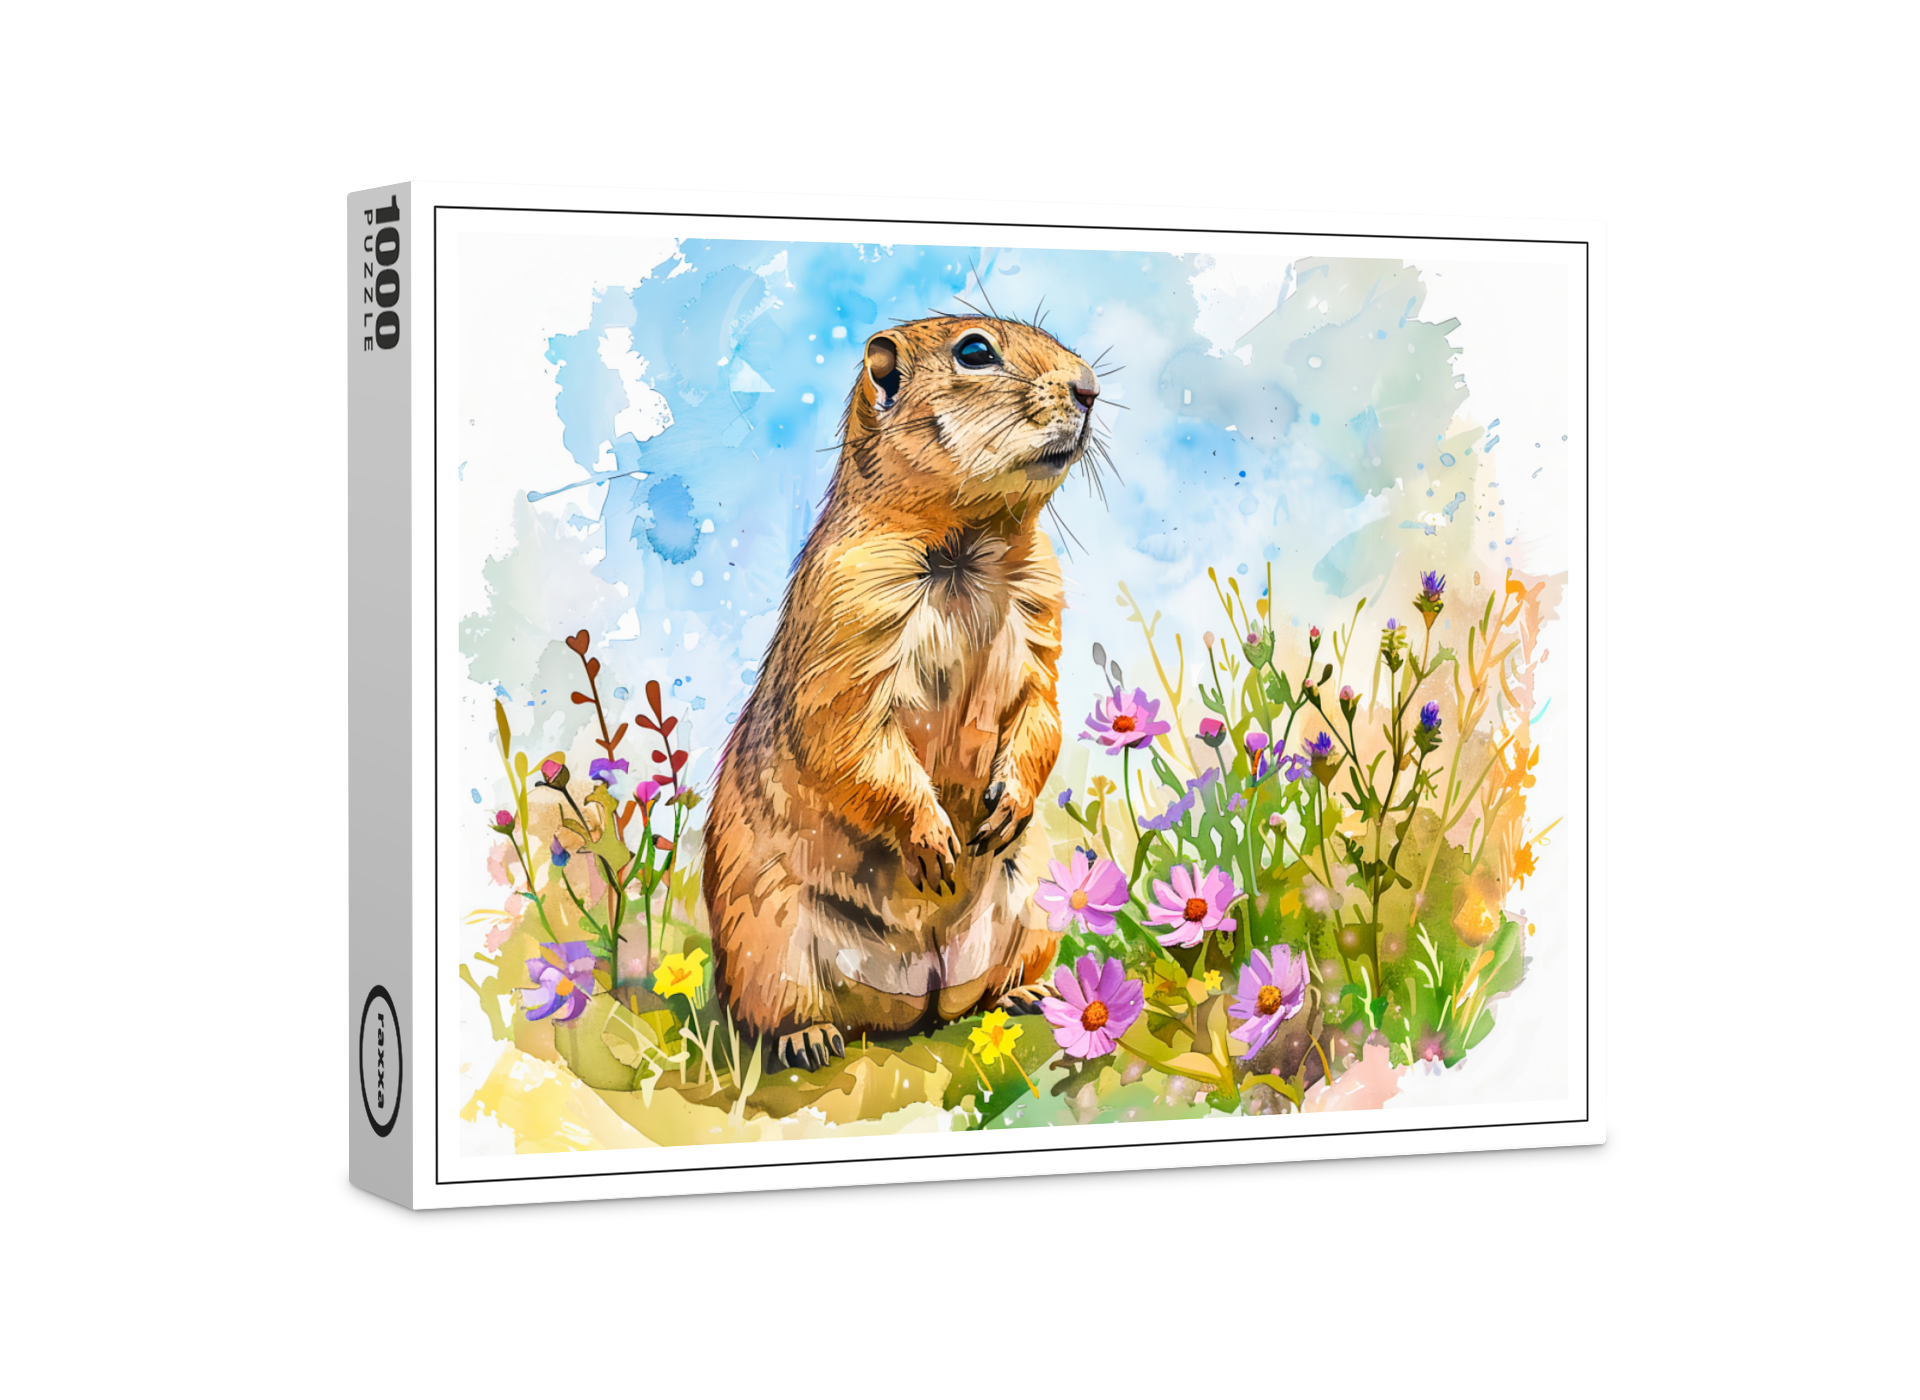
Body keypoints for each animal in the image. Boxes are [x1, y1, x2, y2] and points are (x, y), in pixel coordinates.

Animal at [703, 314, 1101, 1070]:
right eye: (973, 351)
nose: (1090, 388)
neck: (968, 546)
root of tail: (921, 995)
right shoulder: (847, 610)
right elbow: (848, 732)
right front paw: (935, 840)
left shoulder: (1043, 608)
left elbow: (1041, 708)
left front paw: (1006, 806)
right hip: (764, 938)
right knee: (771, 1011)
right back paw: (809, 1039)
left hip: (1037, 906)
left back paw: (1026, 994)